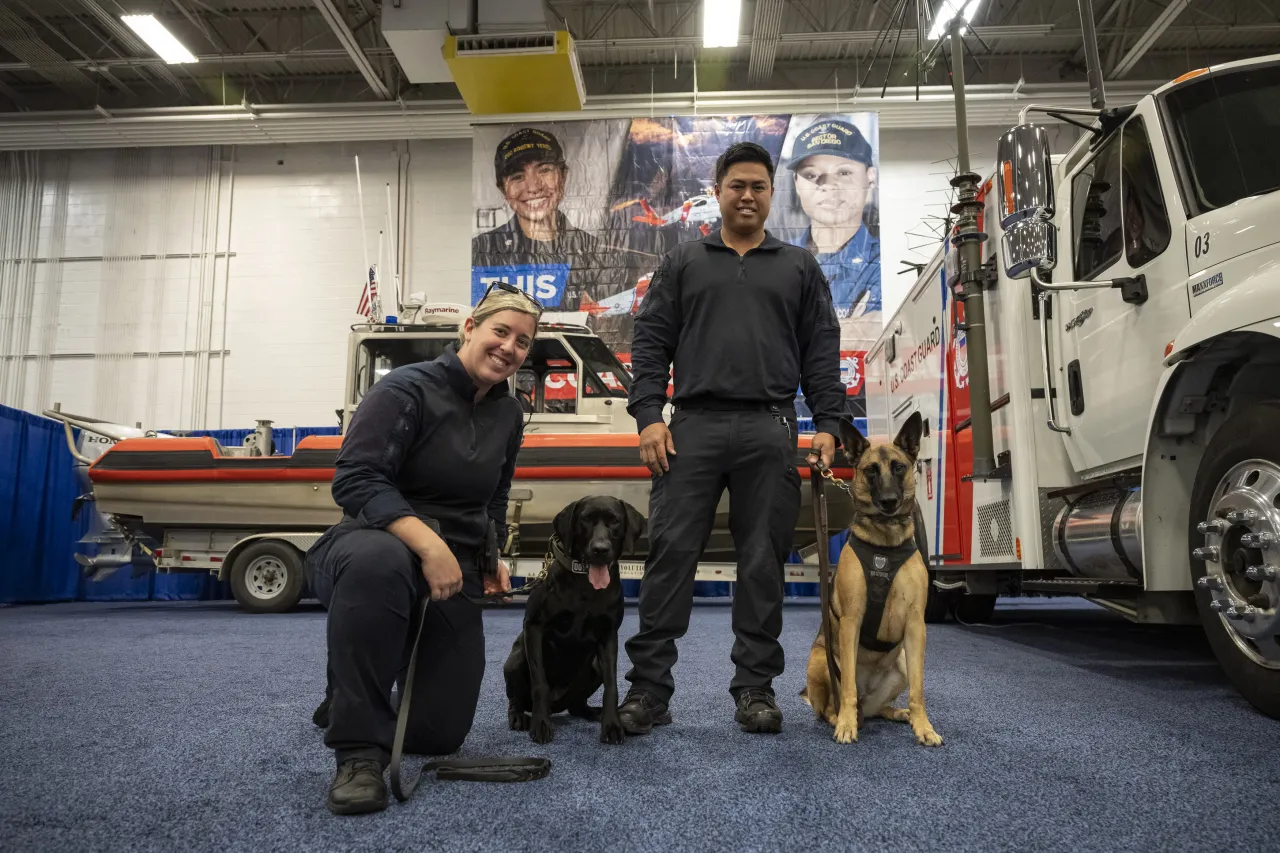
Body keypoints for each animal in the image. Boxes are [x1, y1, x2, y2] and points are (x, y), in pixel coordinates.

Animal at [501, 494, 645, 742]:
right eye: (585, 519)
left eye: (615, 521)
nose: (600, 549)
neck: (584, 582)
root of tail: (557, 704)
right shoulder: (534, 627)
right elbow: (540, 683)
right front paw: (540, 724)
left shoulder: (608, 635)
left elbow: (612, 686)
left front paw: (612, 724)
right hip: (516, 661)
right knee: (517, 699)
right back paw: (519, 716)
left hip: (594, 666)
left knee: (577, 706)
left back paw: (595, 713)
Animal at [803, 412, 947, 742]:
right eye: (870, 470)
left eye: (899, 468)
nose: (890, 501)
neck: (885, 544)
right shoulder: (851, 621)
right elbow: (847, 688)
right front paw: (846, 726)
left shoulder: (916, 625)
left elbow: (919, 691)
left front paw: (923, 726)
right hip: (820, 660)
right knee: (832, 705)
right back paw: (842, 718)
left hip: (902, 662)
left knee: (875, 709)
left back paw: (897, 713)